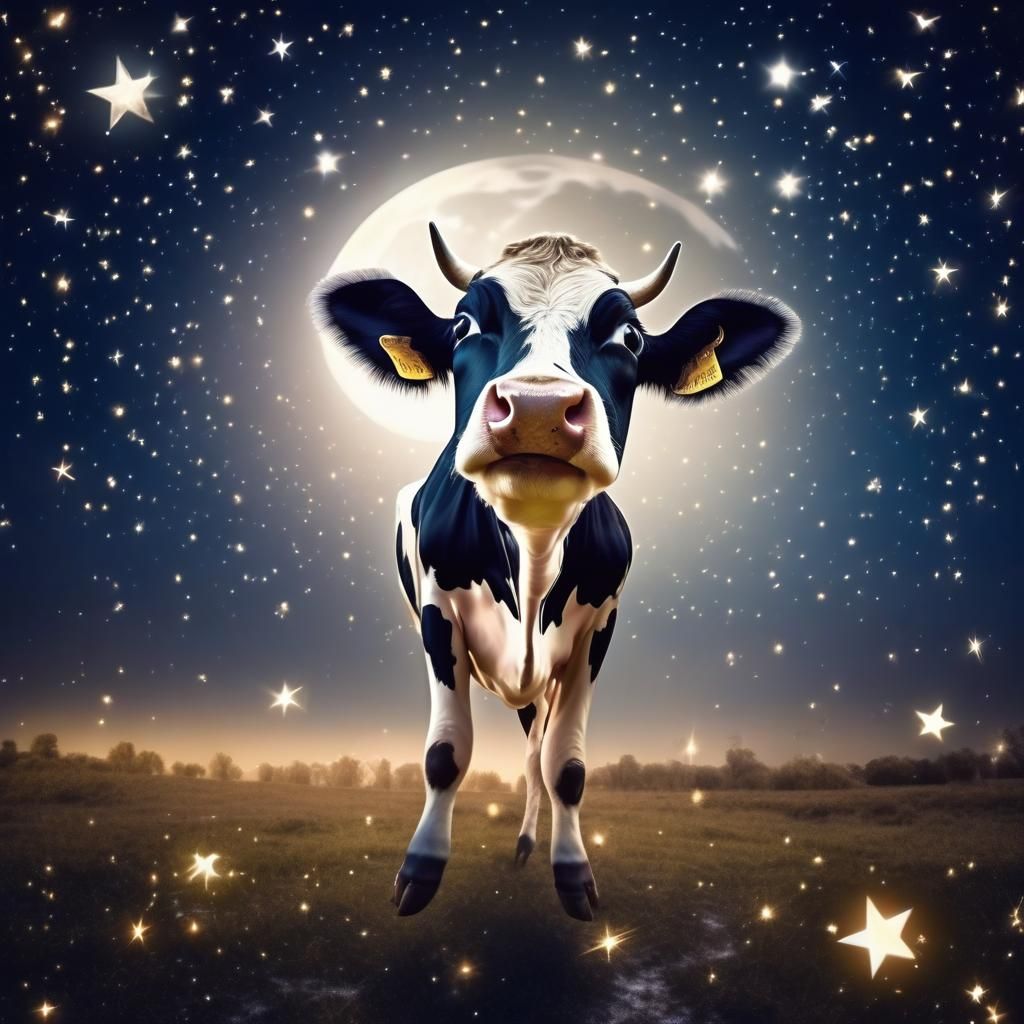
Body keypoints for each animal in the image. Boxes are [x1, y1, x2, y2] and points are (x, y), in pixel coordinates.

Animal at [309, 224, 799, 920]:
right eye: (464, 325)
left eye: (629, 338)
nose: (538, 408)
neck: (535, 555)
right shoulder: (438, 615)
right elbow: (445, 754)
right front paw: (420, 870)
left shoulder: (599, 631)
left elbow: (565, 765)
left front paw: (572, 874)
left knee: (537, 751)